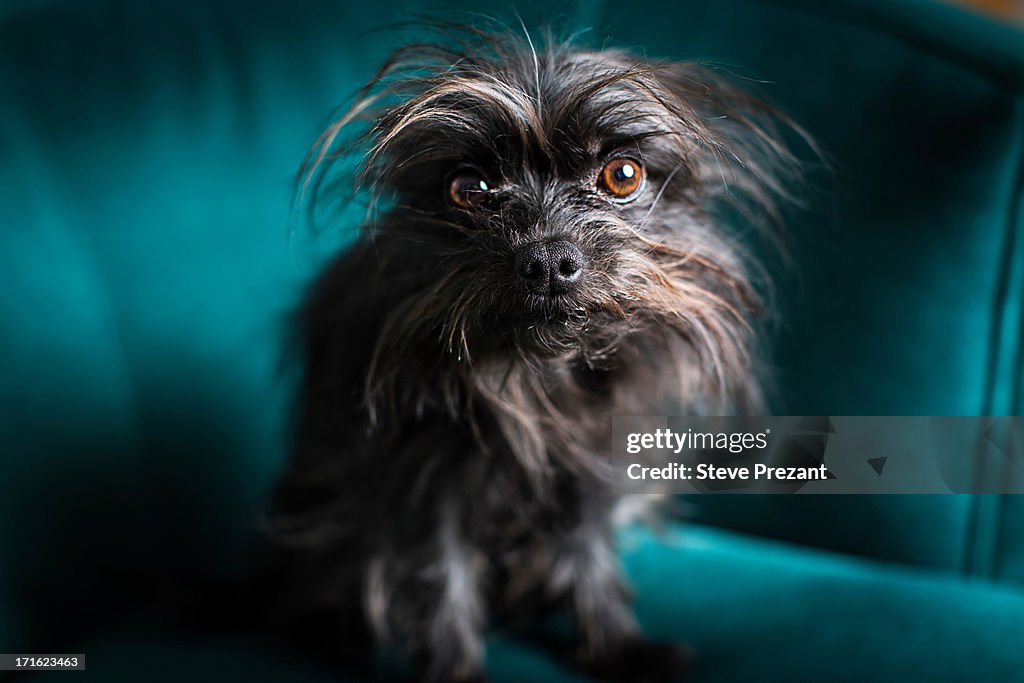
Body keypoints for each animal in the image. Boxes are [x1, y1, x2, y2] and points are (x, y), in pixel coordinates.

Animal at [266, 25, 798, 683]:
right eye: (469, 189)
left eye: (623, 174)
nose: (545, 260)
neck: (540, 375)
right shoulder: (420, 478)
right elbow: (438, 576)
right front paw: (455, 672)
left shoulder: (592, 465)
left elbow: (591, 557)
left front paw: (618, 646)